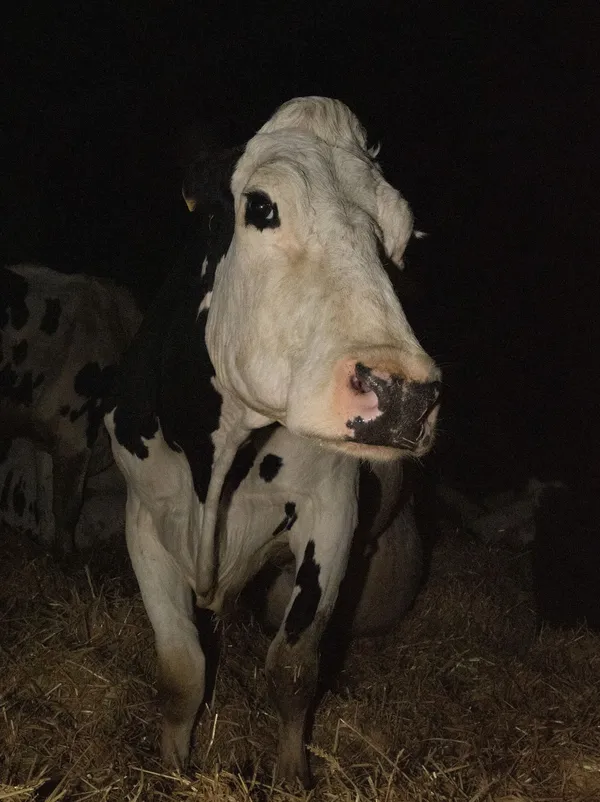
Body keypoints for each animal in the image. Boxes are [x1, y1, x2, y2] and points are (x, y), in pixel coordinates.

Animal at [1, 264, 141, 553]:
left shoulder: (45, 435)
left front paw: (47, 548)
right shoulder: (75, 432)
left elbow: (45, 500)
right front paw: (66, 554)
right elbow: (66, 508)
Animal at [104, 96, 441, 786]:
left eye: (401, 237)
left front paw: (292, 775)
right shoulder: (143, 517)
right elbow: (182, 669)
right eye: (261, 206)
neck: (216, 463)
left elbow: (291, 668)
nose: (403, 394)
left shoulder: (331, 513)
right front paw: (174, 766)